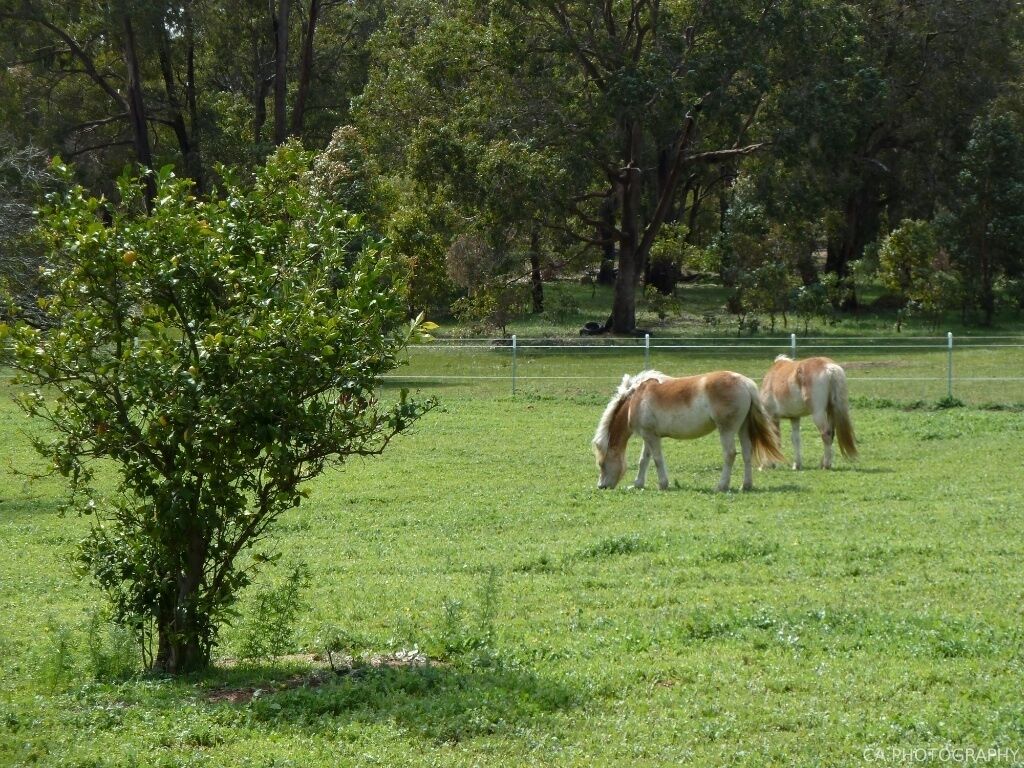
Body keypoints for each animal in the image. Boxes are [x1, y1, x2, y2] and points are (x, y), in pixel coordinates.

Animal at [593, 370, 782, 493]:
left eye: (601, 464)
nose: (601, 486)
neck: (637, 398)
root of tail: (744, 382)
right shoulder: (649, 436)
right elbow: (643, 460)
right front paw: (638, 484)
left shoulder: (651, 437)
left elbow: (657, 460)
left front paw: (663, 484)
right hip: (742, 428)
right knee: (747, 453)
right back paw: (746, 485)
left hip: (726, 430)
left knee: (730, 454)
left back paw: (721, 486)